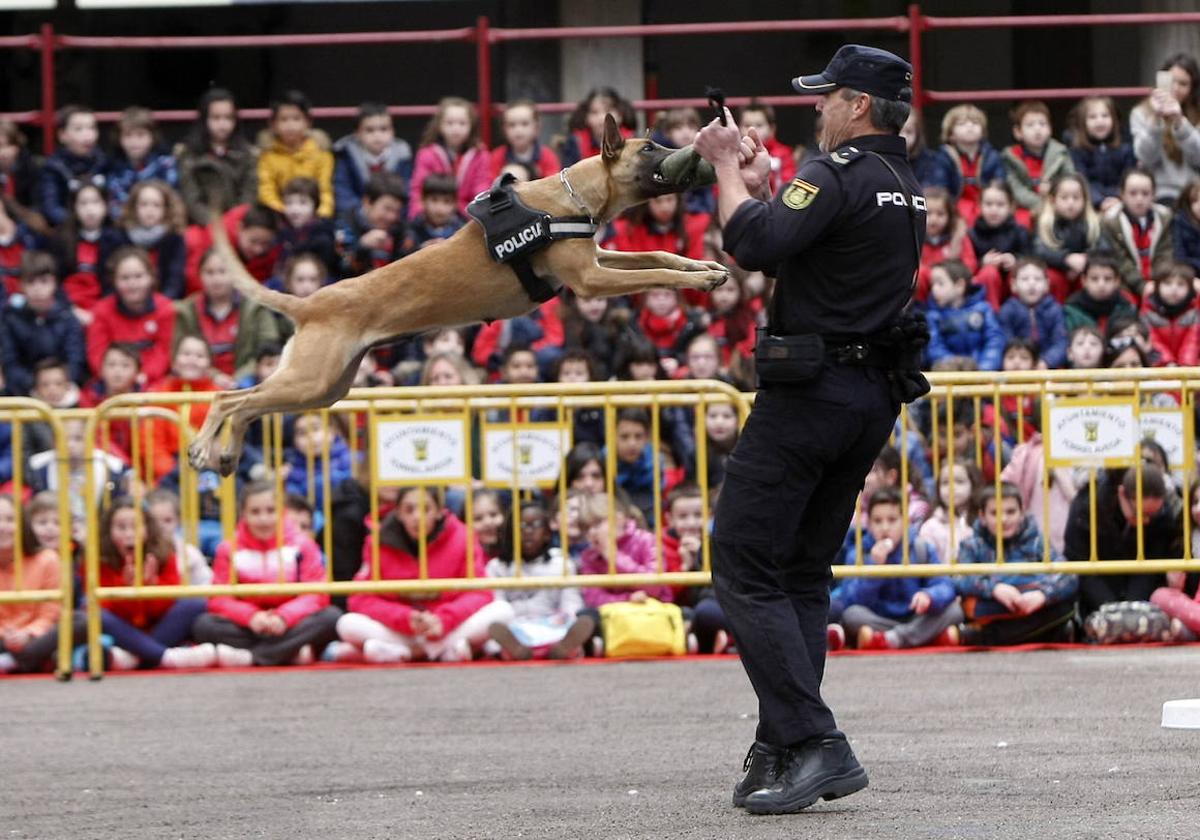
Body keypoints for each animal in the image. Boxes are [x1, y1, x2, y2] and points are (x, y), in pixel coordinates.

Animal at [192, 114, 724, 475]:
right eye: (649, 147)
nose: (696, 148)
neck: (570, 196)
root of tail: (310, 303)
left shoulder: (598, 260)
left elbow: (657, 254)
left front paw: (704, 267)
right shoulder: (591, 280)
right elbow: (657, 272)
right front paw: (697, 281)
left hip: (323, 389)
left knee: (250, 404)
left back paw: (227, 452)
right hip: (310, 380)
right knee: (229, 398)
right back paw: (203, 446)